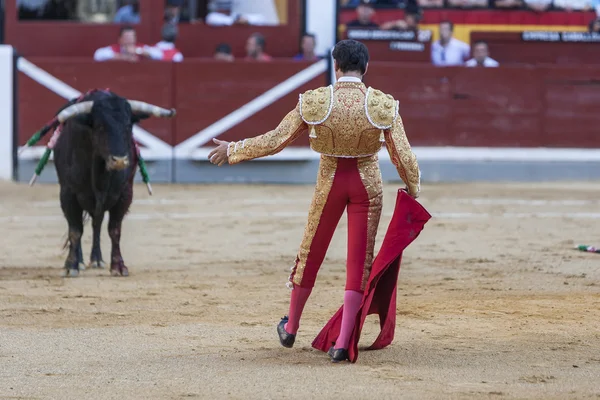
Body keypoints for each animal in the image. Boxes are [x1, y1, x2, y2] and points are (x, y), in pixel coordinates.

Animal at [49, 92, 173, 276]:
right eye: (100, 126)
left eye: (128, 126)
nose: (120, 160)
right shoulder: (68, 194)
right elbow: (75, 230)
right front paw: (71, 265)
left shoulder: (124, 195)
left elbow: (114, 230)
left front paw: (118, 266)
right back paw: (81, 261)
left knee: (97, 223)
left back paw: (97, 259)